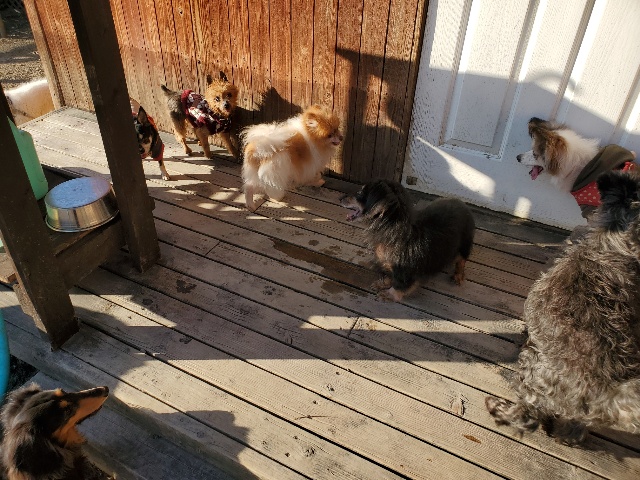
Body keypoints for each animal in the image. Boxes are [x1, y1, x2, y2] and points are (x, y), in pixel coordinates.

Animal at [340, 180, 475, 302]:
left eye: (360, 192)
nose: (340, 198)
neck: (392, 228)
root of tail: (461, 202)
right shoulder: (389, 264)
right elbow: (390, 276)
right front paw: (383, 283)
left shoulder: (404, 270)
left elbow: (399, 285)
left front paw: (390, 294)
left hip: (465, 243)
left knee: (462, 259)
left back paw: (458, 275)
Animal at [486, 169, 640, 445]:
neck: (610, 243)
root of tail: (606, 391)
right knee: (575, 426)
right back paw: (565, 436)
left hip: (535, 371)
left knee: (526, 414)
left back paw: (500, 410)